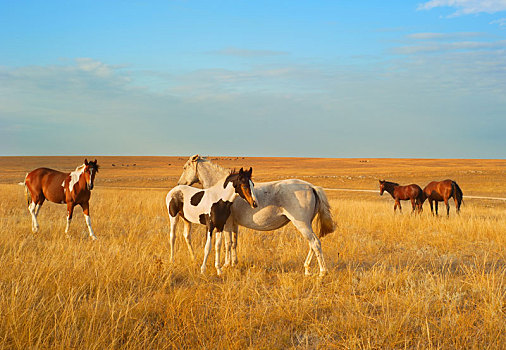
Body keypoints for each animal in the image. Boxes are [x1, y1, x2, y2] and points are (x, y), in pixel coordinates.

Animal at [176, 154, 334, 278]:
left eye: (184, 167)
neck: (222, 192)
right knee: (313, 244)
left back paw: (322, 272)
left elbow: (227, 243)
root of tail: (312, 187)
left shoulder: (226, 224)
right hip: (306, 224)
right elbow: (234, 243)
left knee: (315, 243)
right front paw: (234, 263)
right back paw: (307, 269)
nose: (179, 184)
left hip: (302, 224)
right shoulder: (234, 225)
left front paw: (226, 265)